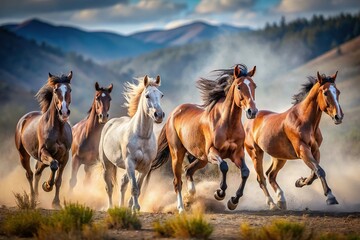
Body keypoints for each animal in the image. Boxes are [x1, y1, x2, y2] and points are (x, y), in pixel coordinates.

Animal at [14, 71, 73, 208]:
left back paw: (37, 198)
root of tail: (23, 120)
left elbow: (58, 180)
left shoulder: (65, 156)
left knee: (37, 172)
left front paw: (56, 203)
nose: (64, 112)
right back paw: (32, 200)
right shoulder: (44, 152)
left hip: (41, 160)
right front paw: (47, 186)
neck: (58, 129)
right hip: (23, 155)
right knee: (30, 174)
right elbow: (54, 165)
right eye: (56, 90)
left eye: (70, 90)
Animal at [99, 75, 165, 212]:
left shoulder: (145, 167)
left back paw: (121, 206)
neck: (142, 137)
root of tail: (110, 123)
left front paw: (132, 207)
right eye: (147, 95)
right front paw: (135, 207)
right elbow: (134, 188)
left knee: (123, 183)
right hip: (106, 165)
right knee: (109, 187)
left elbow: (138, 188)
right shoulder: (130, 163)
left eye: (161, 95)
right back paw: (110, 207)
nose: (159, 115)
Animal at [150, 64, 258, 212]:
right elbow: (224, 166)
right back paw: (181, 208)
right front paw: (219, 193)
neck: (227, 123)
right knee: (177, 181)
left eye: (254, 86)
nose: (252, 112)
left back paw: (191, 196)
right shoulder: (212, 152)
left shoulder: (237, 154)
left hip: (202, 158)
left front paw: (233, 201)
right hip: (178, 154)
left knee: (188, 170)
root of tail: (173, 113)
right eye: (239, 87)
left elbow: (245, 172)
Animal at [245, 71, 344, 210]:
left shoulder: (315, 150)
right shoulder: (303, 150)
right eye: (325, 92)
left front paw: (300, 182)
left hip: (279, 157)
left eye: (338, 92)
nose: (338, 117)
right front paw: (330, 197)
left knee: (271, 175)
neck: (304, 120)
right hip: (256, 154)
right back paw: (272, 204)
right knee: (261, 179)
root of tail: (249, 121)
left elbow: (315, 172)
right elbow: (319, 170)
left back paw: (281, 200)